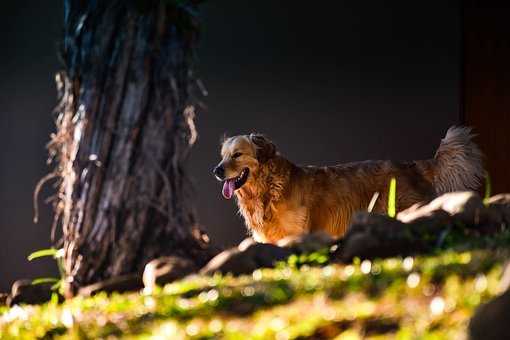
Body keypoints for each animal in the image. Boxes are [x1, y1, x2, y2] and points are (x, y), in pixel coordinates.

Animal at [213, 127, 484, 244]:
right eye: (222, 156)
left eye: (237, 155)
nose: (216, 170)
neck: (268, 187)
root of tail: (413, 165)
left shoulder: (296, 234)